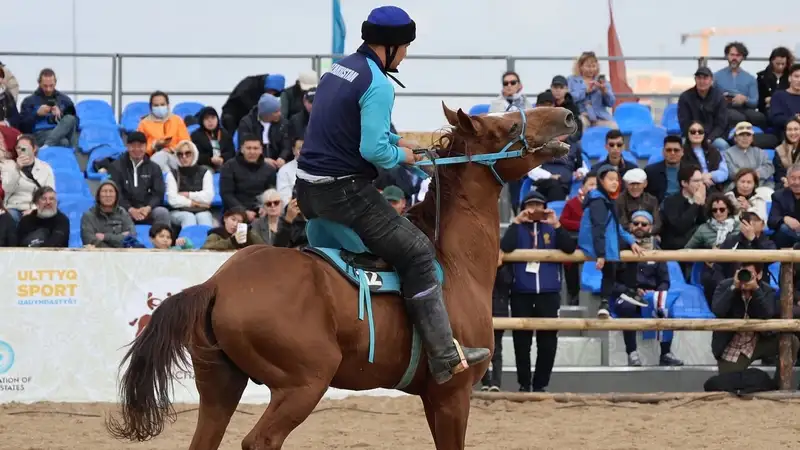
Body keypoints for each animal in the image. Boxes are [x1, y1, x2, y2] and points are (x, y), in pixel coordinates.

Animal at [106, 103, 577, 450]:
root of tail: (216, 284)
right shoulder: (452, 395)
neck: (453, 262)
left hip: (220, 385)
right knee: (261, 441)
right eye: (504, 125)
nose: (568, 115)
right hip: (303, 383)